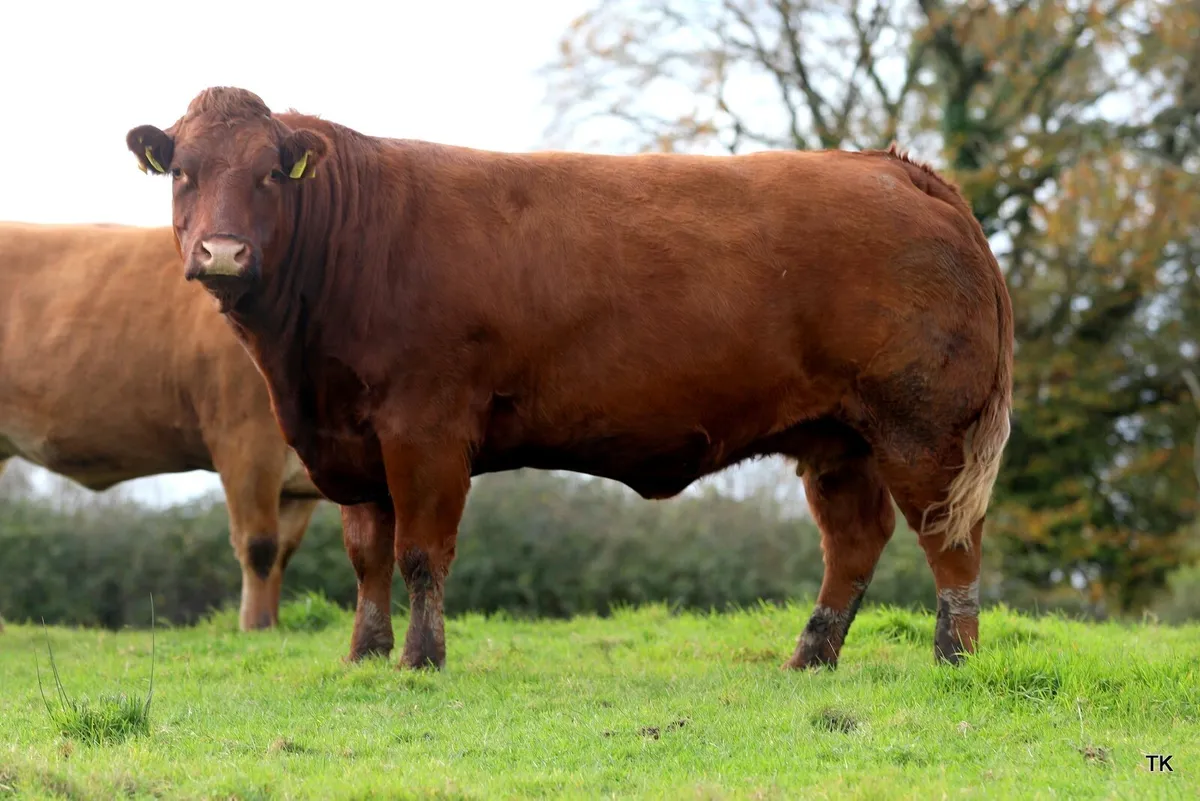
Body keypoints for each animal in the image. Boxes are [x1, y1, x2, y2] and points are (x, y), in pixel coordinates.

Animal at [126, 86, 1013, 672]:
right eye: (184, 172)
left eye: (270, 173)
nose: (223, 252)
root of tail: (896, 168)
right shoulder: (352, 440)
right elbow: (367, 555)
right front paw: (365, 653)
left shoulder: (425, 427)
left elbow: (420, 553)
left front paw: (421, 658)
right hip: (837, 438)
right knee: (855, 541)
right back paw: (811, 655)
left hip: (922, 426)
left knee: (949, 536)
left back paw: (956, 658)